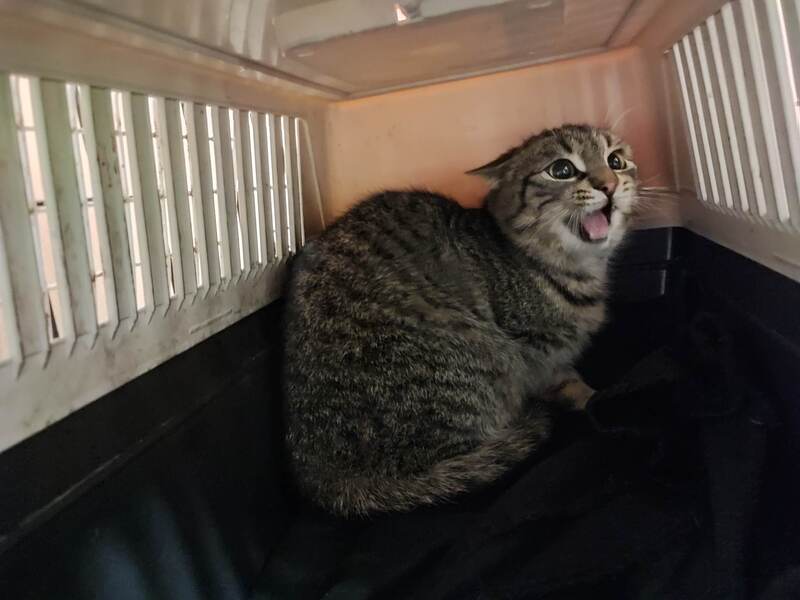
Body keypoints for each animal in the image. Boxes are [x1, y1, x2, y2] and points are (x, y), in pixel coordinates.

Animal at [283, 124, 639, 517]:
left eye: (616, 161)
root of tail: (323, 477)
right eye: (561, 169)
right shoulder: (534, 354)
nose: (609, 184)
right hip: (483, 356)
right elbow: (566, 384)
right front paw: (597, 397)